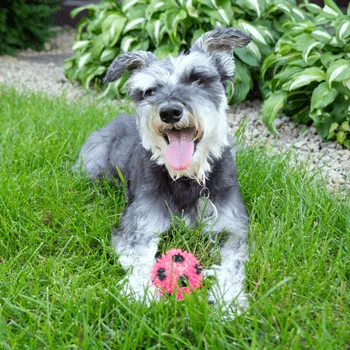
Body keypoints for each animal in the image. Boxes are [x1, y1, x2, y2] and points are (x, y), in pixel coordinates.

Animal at [76, 27, 252, 316]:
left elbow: (233, 264)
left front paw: (229, 300)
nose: (169, 111)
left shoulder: (233, 227)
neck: (186, 178)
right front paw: (139, 292)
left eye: (197, 78)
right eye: (149, 90)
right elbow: (139, 256)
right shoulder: (141, 223)